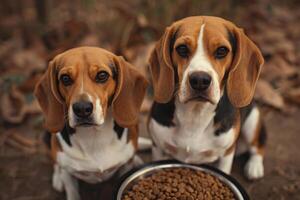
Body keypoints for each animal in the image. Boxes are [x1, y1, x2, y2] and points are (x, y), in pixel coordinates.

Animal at [35, 46, 148, 200]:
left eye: (102, 75)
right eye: (65, 78)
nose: (82, 109)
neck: (94, 136)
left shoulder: (125, 167)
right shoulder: (68, 173)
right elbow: (72, 191)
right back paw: (57, 178)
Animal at [148, 16, 264, 180]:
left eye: (222, 50)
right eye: (182, 49)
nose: (200, 80)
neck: (195, 114)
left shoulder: (226, 154)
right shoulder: (158, 147)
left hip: (252, 122)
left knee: (257, 147)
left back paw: (255, 167)